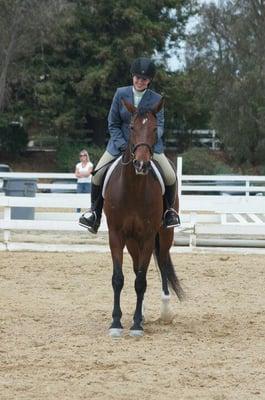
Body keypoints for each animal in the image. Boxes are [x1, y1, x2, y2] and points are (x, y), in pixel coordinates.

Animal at [103, 97, 184, 338]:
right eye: (131, 127)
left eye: (155, 129)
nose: (141, 164)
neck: (133, 188)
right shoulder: (116, 235)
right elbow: (119, 278)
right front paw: (117, 323)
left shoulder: (148, 237)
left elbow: (141, 281)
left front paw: (137, 325)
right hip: (132, 241)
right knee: (137, 265)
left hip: (164, 236)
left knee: (163, 263)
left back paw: (163, 311)